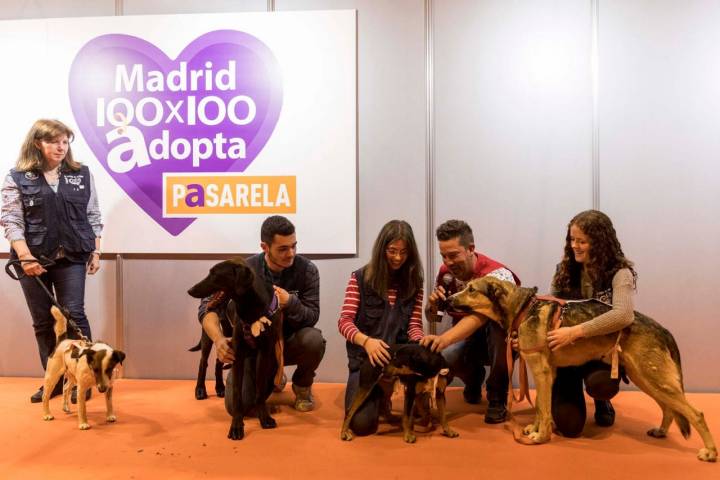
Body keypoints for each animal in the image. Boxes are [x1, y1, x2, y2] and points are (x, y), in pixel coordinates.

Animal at [188, 256, 282, 440]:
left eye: (214, 274)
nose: (190, 290)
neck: (251, 307)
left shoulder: (264, 353)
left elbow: (260, 388)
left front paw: (264, 417)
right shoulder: (238, 354)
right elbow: (237, 394)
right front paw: (237, 426)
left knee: (218, 363)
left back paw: (220, 388)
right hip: (210, 335)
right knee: (203, 363)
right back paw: (200, 390)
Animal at [448, 276, 716, 464]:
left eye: (471, 289)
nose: (448, 300)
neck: (523, 309)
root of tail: (663, 329)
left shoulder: (541, 372)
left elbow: (543, 410)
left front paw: (541, 437)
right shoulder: (546, 374)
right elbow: (540, 409)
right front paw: (534, 430)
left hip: (654, 378)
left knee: (696, 414)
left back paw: (710, 453)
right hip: (646, 379)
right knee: (669, 409)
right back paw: (661, 431)